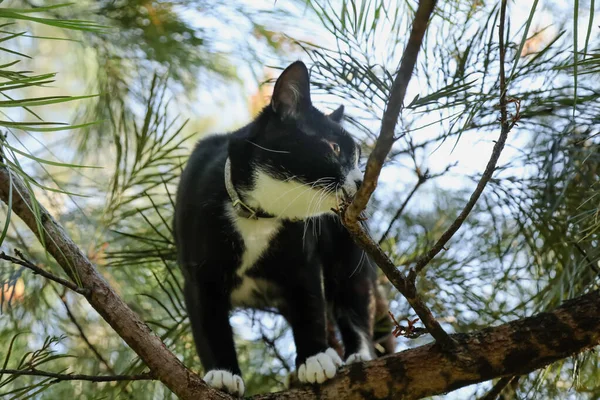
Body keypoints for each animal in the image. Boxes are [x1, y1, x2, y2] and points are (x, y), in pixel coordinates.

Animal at [173, 61, 390, 396]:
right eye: (333, 148)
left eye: (358, 160)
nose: (361, 182)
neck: (258, 215)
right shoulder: (198, 271)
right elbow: (209, 321)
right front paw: (222, 373)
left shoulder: (302, 259)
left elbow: (309, 303)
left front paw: (314, 358)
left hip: (348, 250)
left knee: (354, 297)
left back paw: (357, 355)